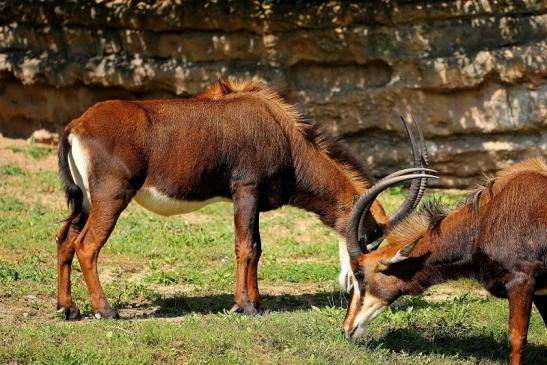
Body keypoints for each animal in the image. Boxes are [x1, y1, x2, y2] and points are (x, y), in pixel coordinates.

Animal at [54, 79, 432, 318]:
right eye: (370, 238)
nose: (351, 285)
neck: (284, 133)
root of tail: (76, 126)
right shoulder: (245, 190)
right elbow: (246, 247)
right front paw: (245, 306)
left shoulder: (255, 199)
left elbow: (258, 248)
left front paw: (258, 302)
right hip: (112, 197)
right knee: (87, 245)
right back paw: (105, 310)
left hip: (85, 202)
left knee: (65, 239)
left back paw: (68, 309)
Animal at [344, 157, 544, 364]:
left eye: (359, 274)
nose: (346, 328)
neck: (483, 222)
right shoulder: (539, 292)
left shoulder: (521, 281)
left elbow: (516, 338)